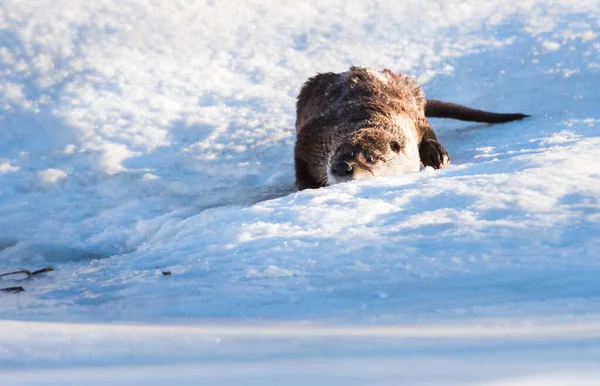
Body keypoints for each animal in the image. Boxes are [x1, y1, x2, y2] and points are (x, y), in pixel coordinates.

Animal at [292, 66, 528, 190]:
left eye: (371, 158)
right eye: (335, 155)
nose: (342, 167)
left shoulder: (409, 115)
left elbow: (426, 130)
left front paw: (438, 156)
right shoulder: (314, 135)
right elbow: (299, 158)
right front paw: (307, 186)